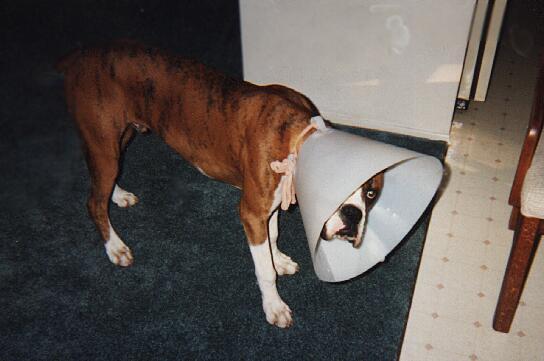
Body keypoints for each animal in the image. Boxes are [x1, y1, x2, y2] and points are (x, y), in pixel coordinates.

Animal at [57, 41, 382, 326]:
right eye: (333, 189)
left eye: (371, 193)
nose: (353, 216)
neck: (296, 138)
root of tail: (77, 58)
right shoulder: (251, 213)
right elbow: (264, 269)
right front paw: (274, 305)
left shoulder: (269, 206)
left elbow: (273, 235)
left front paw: (278, 259)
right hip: (104, 143)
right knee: (94, 201)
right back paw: (115, 247)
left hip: (119, 138)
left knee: (104, 182)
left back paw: (118, 195)